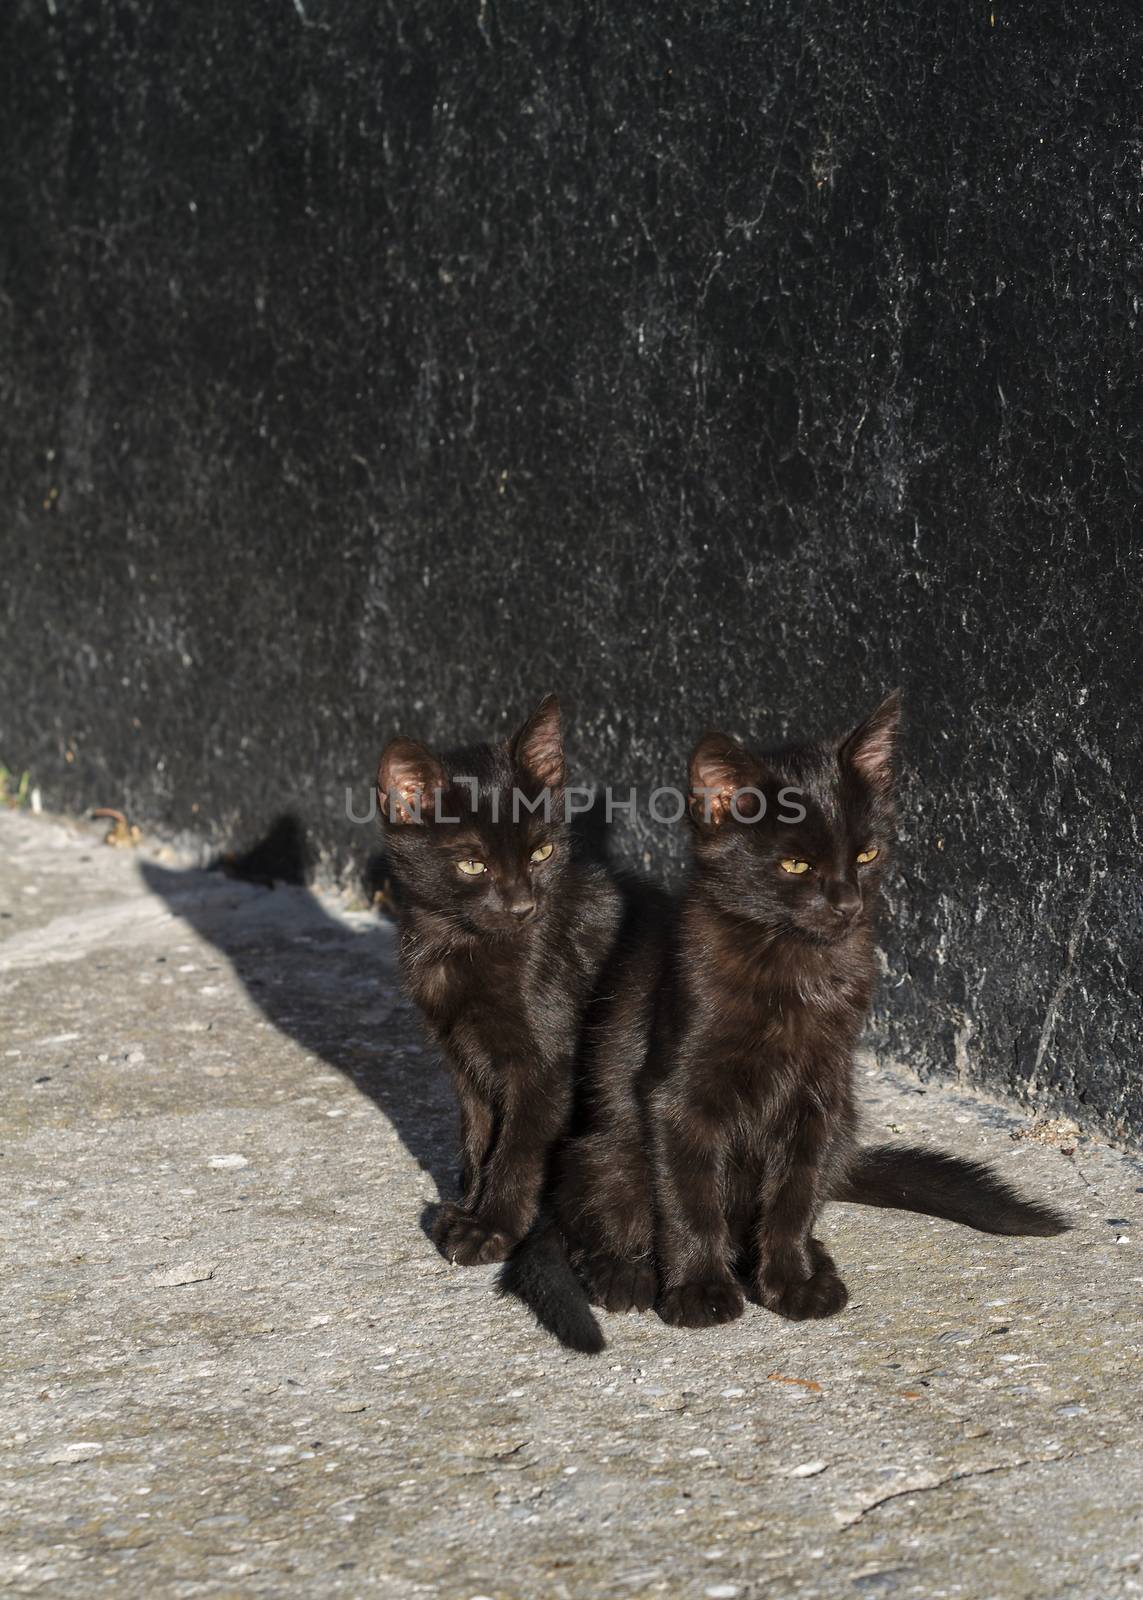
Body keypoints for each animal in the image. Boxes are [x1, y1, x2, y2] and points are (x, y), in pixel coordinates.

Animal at [377, 694, 614, 1344]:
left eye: (542, 852)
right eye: (472, 864)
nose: (523, 906)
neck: (460, 947)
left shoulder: (548, 1064)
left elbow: (520, 1145)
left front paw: (493, 1227)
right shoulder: (463, 1059)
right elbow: (481, 1134)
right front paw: (469, 1204)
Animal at [502, 694, 1062, 1344]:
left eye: (866, 854)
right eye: (794, 865)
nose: (847, 904)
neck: (795, 968)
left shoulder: (819, 1098)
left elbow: (793, 1196)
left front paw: (791, 1279)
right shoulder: (678, 1096)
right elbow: (690, 1197)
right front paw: (699, 1290)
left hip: (843, 1127)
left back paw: (812, 1260)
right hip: (605, 1152)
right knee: (606, 1212)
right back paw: (626, 1273)